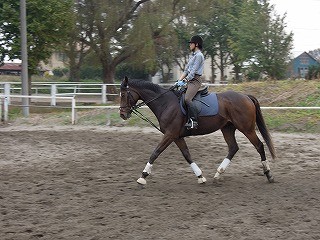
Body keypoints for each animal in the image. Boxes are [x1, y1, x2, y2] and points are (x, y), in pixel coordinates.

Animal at [119, 77, 276, 186]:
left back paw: (269, 174)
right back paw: (218, 175)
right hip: (227, 128)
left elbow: (155, 153)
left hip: (246, 129)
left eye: (124, 95)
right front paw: (200, 177)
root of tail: (246, 96)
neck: (165, 103)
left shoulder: (170, 134)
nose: (122, 114)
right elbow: (187, 155)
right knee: (233, 148)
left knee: (259, 146)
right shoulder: (176, 136)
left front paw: (142, 177)